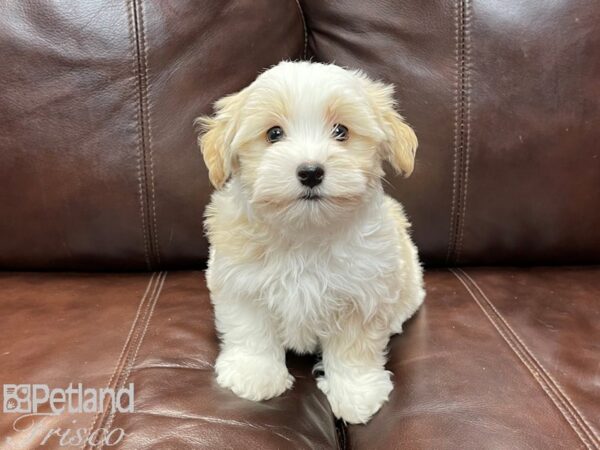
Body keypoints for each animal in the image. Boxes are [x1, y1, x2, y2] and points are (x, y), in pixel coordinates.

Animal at [196, 61, 422, 424]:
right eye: (274, 133)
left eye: (341, 131)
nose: (311, 172)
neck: (305, 233)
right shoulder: (239, 282)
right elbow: (250, 328)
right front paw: (254, 374)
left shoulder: (364, 293)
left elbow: (354, 348)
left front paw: (356, 393)